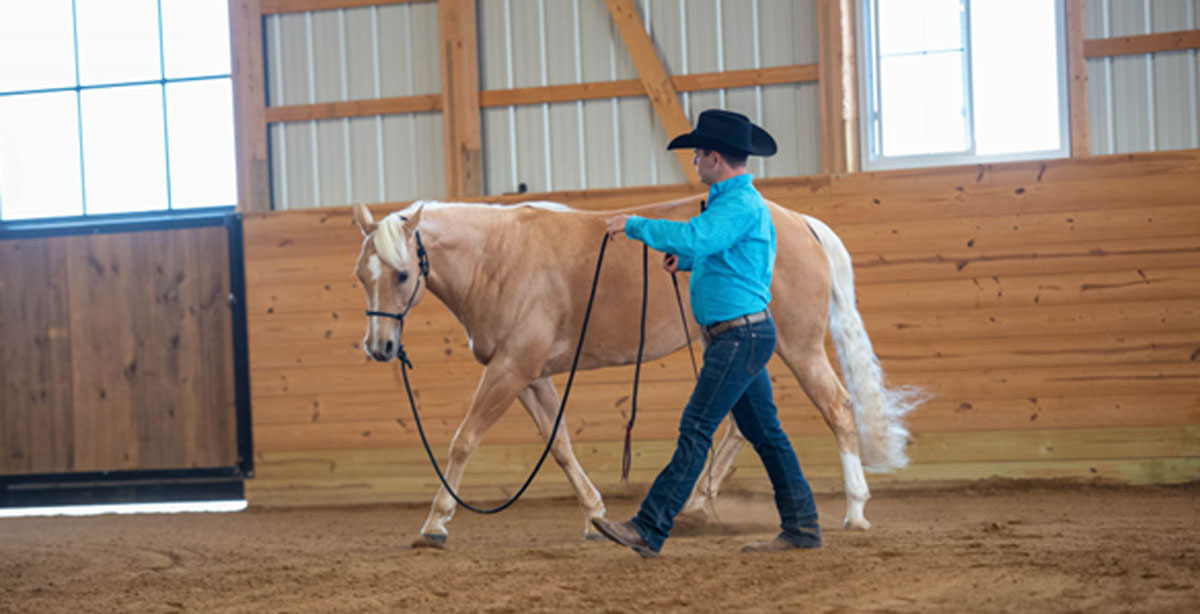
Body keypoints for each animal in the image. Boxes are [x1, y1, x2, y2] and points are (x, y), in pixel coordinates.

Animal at [350, 193, 921, 546]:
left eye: (402, 274)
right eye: (361, 275)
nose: (379, 347)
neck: (499, 258)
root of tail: (800, 222)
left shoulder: (511, 369)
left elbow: (463, 441)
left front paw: (436, 523)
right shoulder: (530, 375)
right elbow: (560, 446)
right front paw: (595, 515)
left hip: (799, 347)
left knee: (838, 408)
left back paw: (855, 510)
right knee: (741, 426)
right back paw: (695, 506)